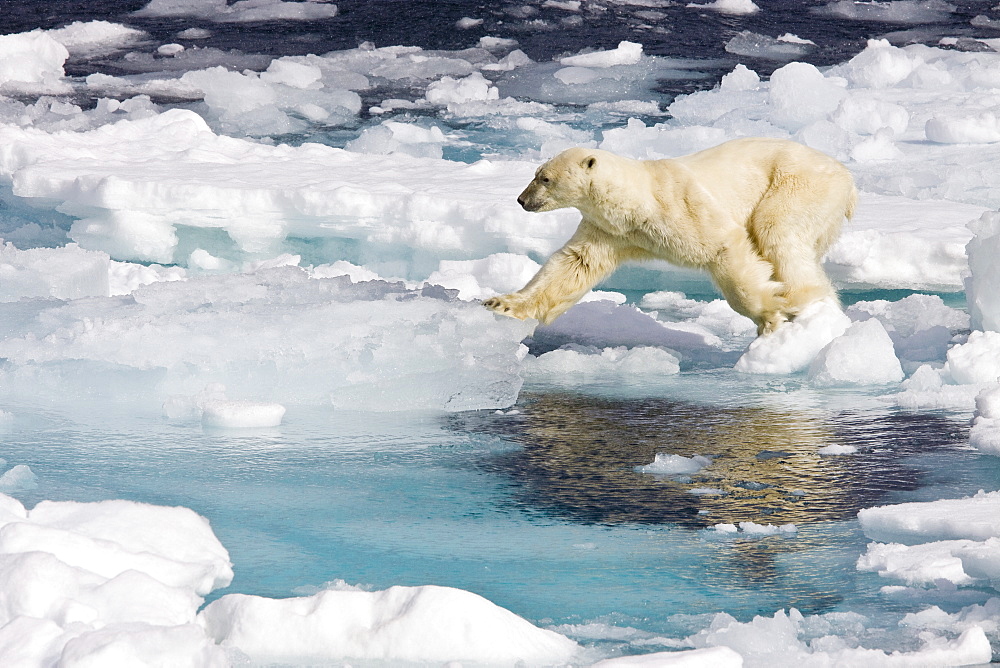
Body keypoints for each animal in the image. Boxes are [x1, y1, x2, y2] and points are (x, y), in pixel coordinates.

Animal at [480, 138, 856, 334]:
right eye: (536, 174)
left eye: (544, 178)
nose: (521, 200)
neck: (638, 200)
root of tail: (846, 177)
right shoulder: (611, 230)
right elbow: (573, 265)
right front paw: (502, 303)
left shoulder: (682, 206)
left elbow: (726, 246)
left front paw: (768, 316)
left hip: (798, 184)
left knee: (776, 231)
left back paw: (808, 304)